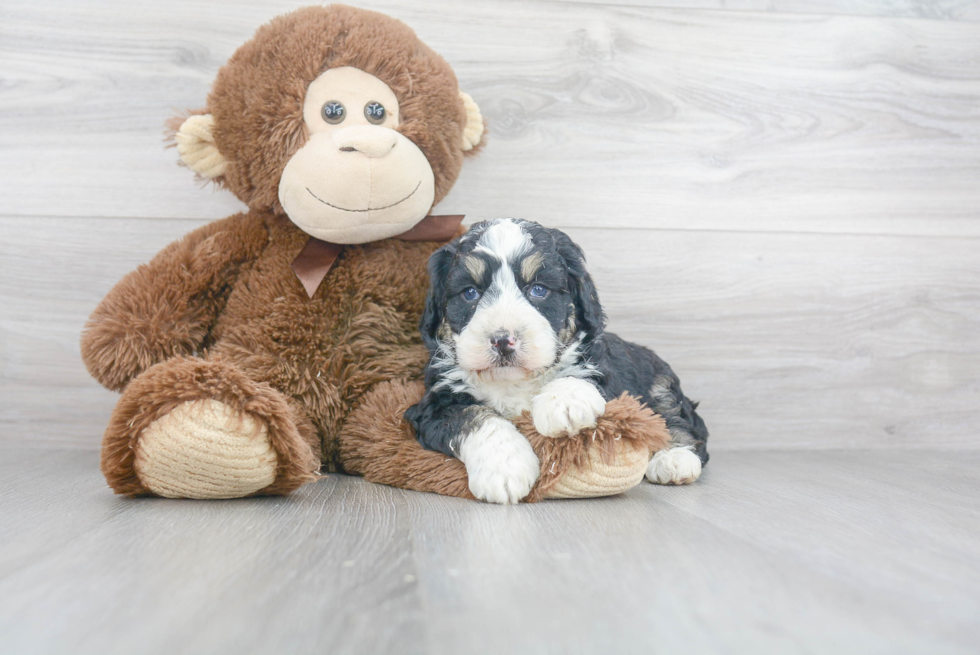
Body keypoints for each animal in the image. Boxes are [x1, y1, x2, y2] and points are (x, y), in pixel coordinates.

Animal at [402, 218, 708, 504]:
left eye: (538, 289)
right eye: (469, 293)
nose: (503, 340)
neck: (514, 382)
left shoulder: (603, 372)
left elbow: (578, 375)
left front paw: (565, 403)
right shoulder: (436, 403)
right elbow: (474, 417)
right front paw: (505, 468)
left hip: (660, 383)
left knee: (674, 418)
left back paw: (675, 459)